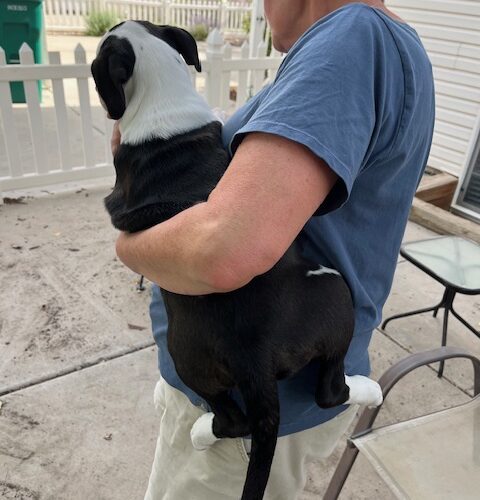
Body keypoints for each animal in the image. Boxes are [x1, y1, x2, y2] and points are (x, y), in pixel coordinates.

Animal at [91, 22, 382, 500]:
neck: (158, 97)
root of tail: (254, 358)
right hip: (333, 288)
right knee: (325, 392)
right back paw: (368, 389)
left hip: (189, 361)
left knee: (234, 417)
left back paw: (200, 433)